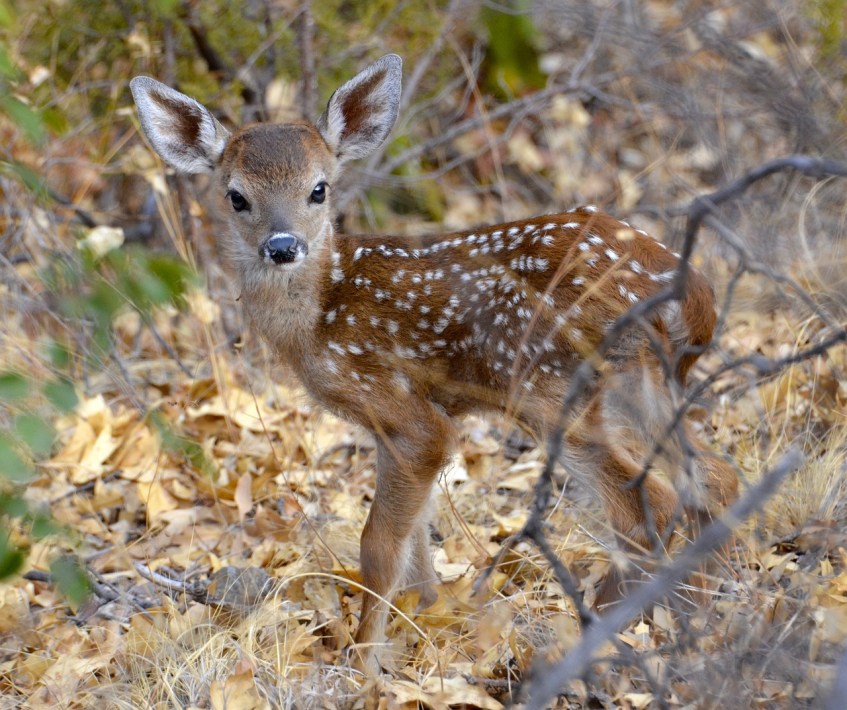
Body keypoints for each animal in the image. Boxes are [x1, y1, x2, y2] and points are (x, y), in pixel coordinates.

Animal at [130, 54, 738, 673]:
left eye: (319, 189)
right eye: (236, 196)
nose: (282, 246)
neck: (322, 314)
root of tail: (693, 294)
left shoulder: (405, 411)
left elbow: (378, 546)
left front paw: (365, 664)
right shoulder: (397, 425)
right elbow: (418, 542)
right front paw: (427, 623)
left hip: (549, 384)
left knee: (646, 505)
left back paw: (593, 634)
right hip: (643, 383)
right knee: (713, 476)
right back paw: (703, 606)